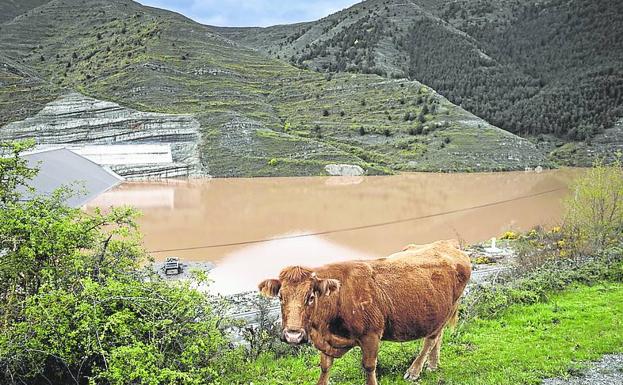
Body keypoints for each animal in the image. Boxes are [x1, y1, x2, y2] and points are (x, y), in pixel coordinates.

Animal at [260, 238, 472, 382]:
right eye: (281, 297)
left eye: (311, 297)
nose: (293, 335)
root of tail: (447, 244)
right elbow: (325, 368)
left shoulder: (371, 335)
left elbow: (369, 368)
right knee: (438, 336)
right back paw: (433, 365)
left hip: (449, 308)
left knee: (431, 339)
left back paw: (414, 371)